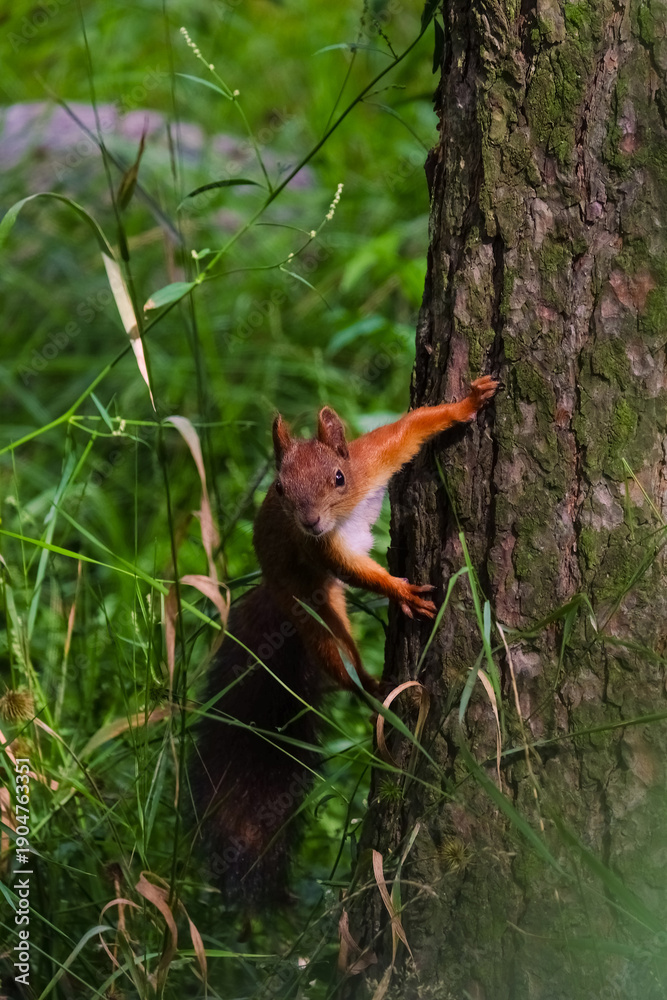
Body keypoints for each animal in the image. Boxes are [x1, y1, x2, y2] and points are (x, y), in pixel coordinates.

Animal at [190, 375, 498, 906]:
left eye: (338, 476)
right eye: (279, 488)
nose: (309, 521)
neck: (344, 511)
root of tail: (272, 587)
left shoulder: (373, 459)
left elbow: (411, 427)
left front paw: (468, 402)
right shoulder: (326, 550)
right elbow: (361, 572)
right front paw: (401, 592)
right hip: (309, 605)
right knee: (336, 659)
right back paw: (374, 689)